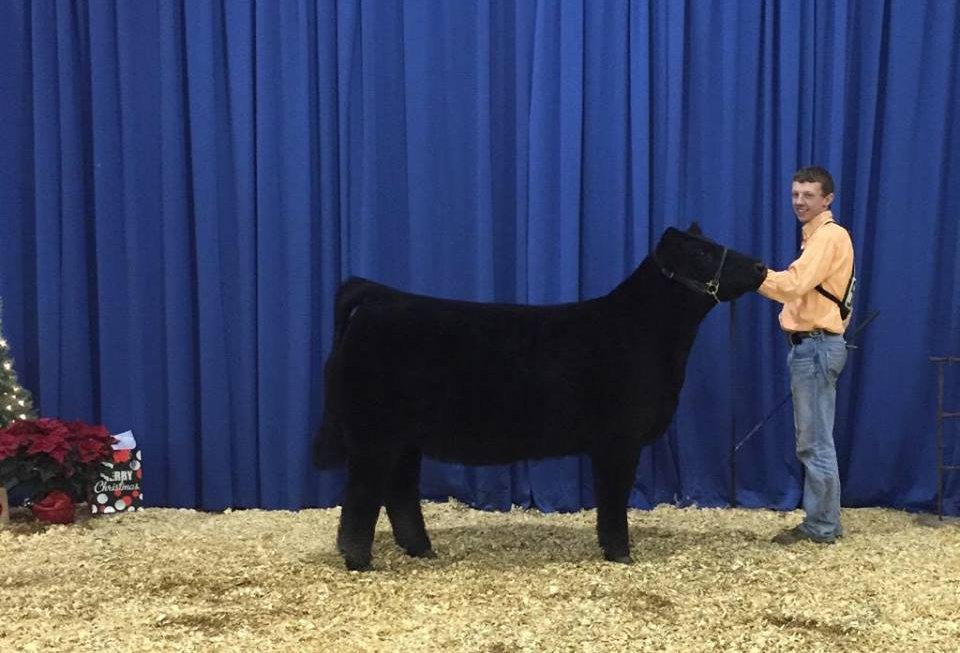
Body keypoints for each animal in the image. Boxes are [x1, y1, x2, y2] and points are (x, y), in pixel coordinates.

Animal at [314, 224, 767, 570]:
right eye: (703, 253)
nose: (761, 266)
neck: (645, 331)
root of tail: (380, 299)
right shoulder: (619, 440)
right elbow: (613, 500)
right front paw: (621, 554)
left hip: (404, 439)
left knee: (401, 493)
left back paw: (421, 550)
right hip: (374, 436)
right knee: (361, 498)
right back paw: (360, 561)